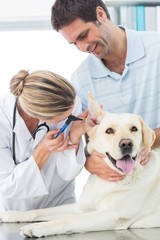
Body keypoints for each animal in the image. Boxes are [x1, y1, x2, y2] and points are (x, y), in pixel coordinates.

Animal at [0, 94, 160, 238]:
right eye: (109, 130)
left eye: (134, 129)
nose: (127, 144)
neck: (105, 182)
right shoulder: (81, 207)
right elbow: (41, 211)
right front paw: (12, 215)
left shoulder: (113, 214)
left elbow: (68, 220)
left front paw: (37, 227)